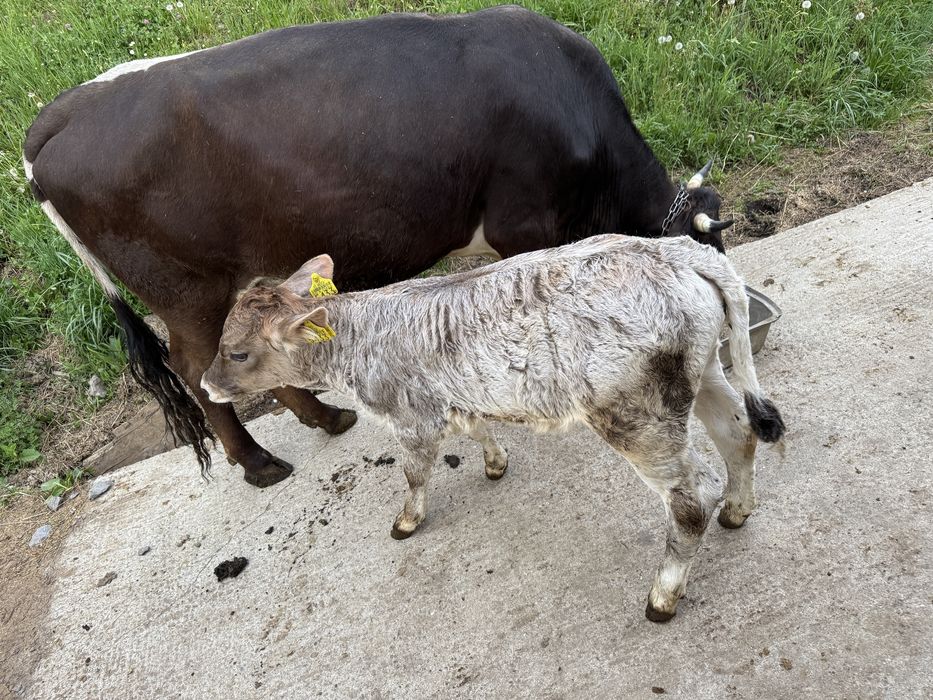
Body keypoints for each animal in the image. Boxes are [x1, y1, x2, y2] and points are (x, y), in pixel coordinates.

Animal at [23, 6, 734, 487]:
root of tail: (57, 116)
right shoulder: (525, 224)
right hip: (187, 291)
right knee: (198, 369)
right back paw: (258, 462)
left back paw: (325, 418)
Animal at [200, 234, 784, 620]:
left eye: (238, 352)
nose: (204, 384)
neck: (359, 336)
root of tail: (674, 250)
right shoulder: (455, 399)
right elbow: (478, 429)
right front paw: (495, 462)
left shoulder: (412, 418)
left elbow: (414, 476)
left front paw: (407, 521)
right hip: (703, 373)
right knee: (739, 433)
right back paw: (737, 509)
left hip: (637, 413)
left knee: (691, 497)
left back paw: (663, 594)